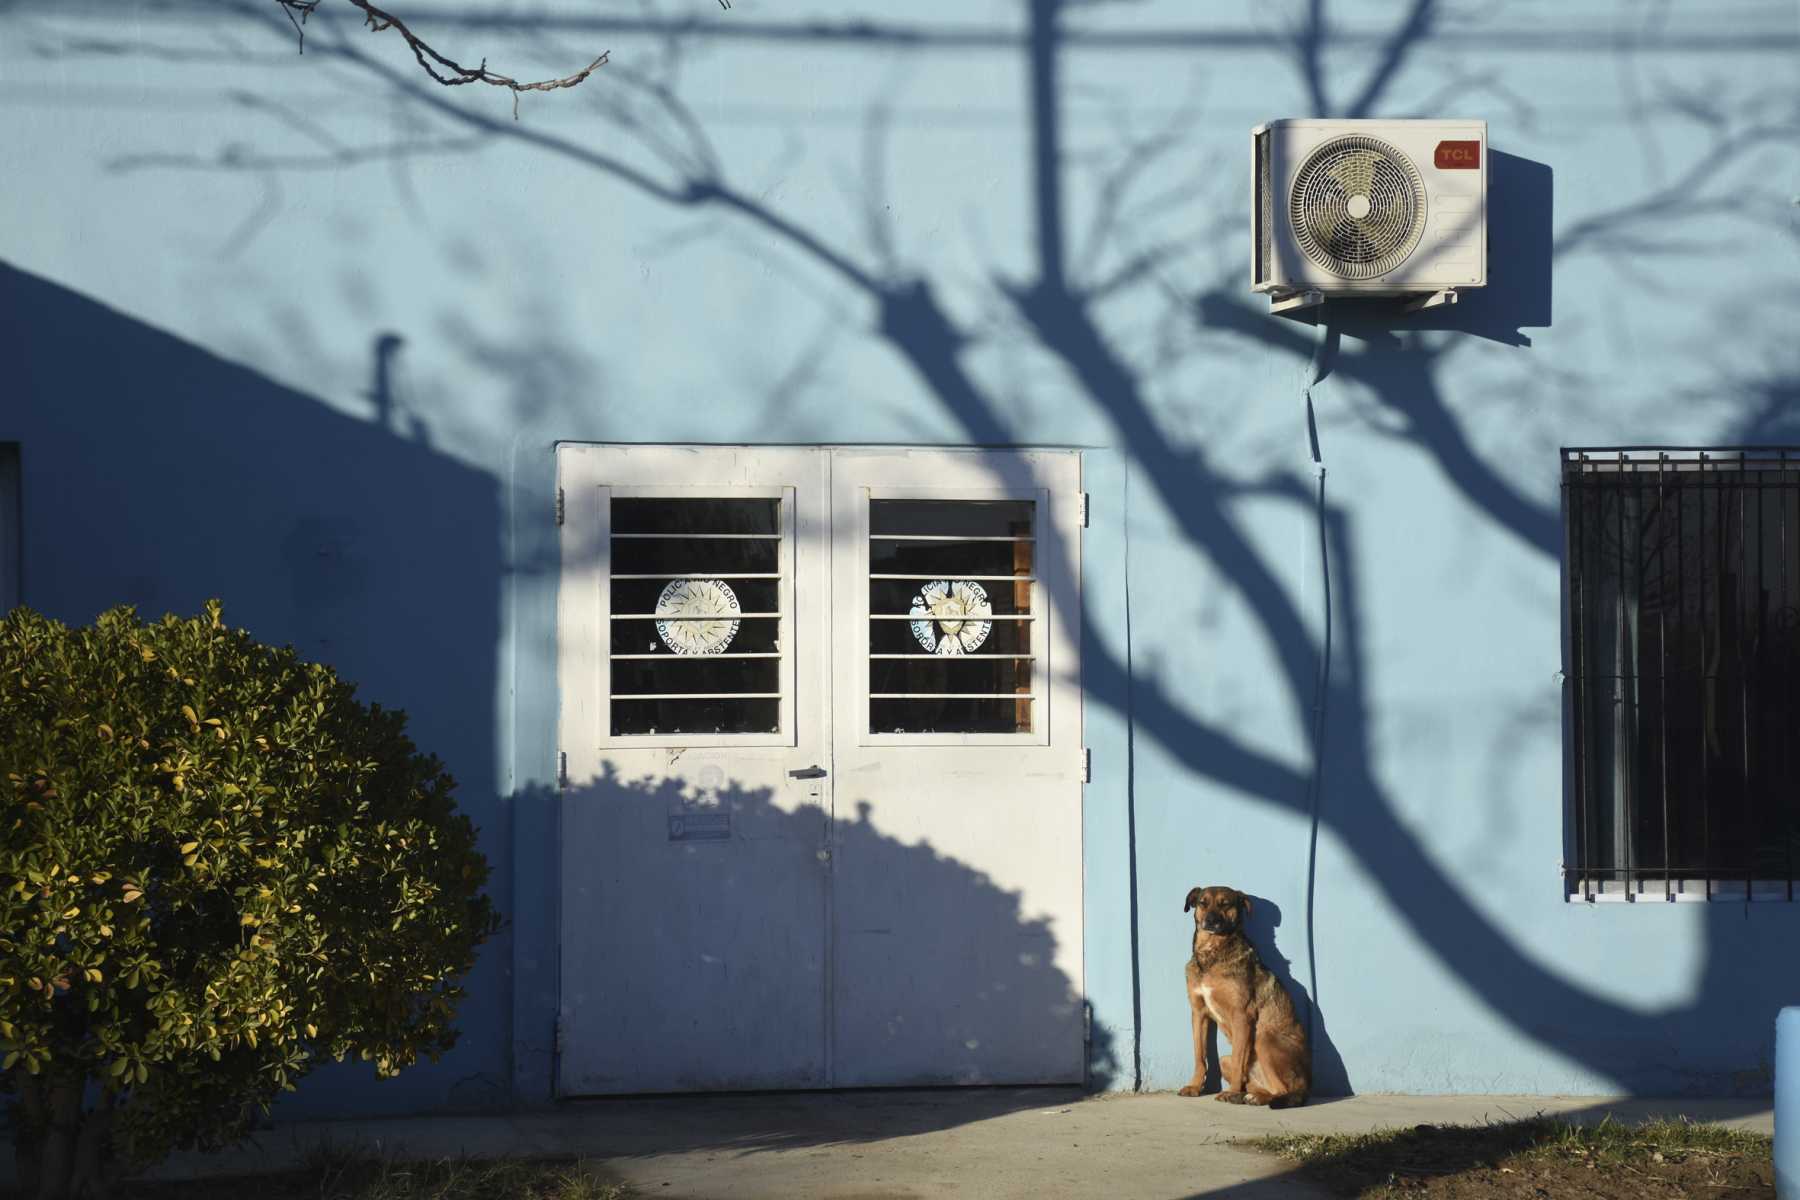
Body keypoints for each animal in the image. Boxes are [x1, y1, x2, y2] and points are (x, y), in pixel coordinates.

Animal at [1180, 881, 1310, 1108]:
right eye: (1202, 903)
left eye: (1225, 904)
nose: (1210, 921)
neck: (1212, 952)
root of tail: (1307, 1085)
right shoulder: (1198, 1013)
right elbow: (1200, 1056)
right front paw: (1195, 1087)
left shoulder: (1242, 1014)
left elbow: (1239, 1058)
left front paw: (1230, 1092)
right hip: (1225, 1060)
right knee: (1265, 1088)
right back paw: (1249, 1096)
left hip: (1264, 1040)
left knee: (1283, 1090)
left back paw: (1244, 1096)